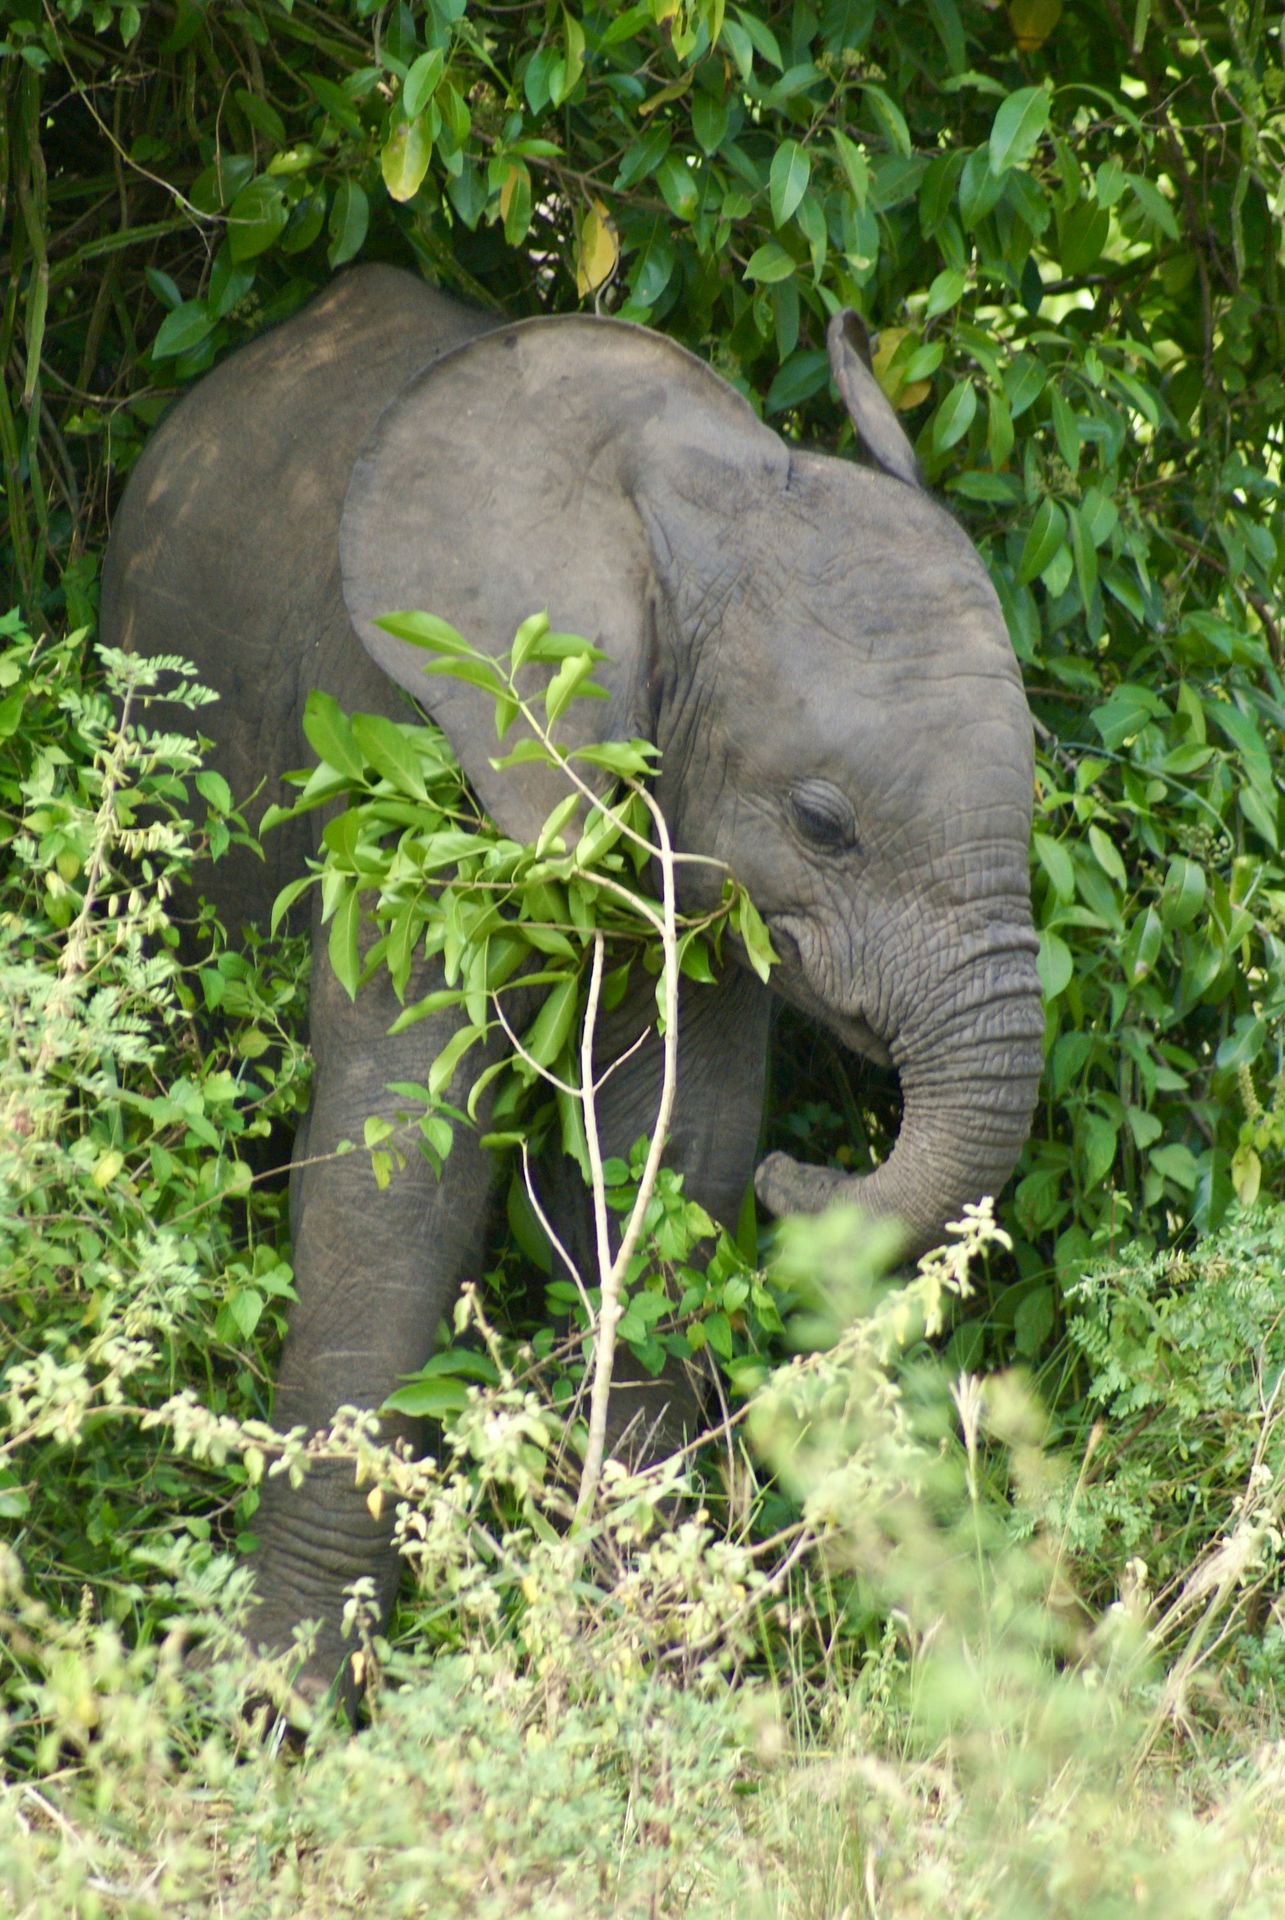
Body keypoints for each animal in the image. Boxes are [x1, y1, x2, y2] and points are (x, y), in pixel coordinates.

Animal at [100, 263, 1044, 1708]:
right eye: (823, 823)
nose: (814, 1178)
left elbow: (674, 1154)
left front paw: (661, 1670)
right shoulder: (405, 727)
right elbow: (400, 1163)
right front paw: (280, 1704)